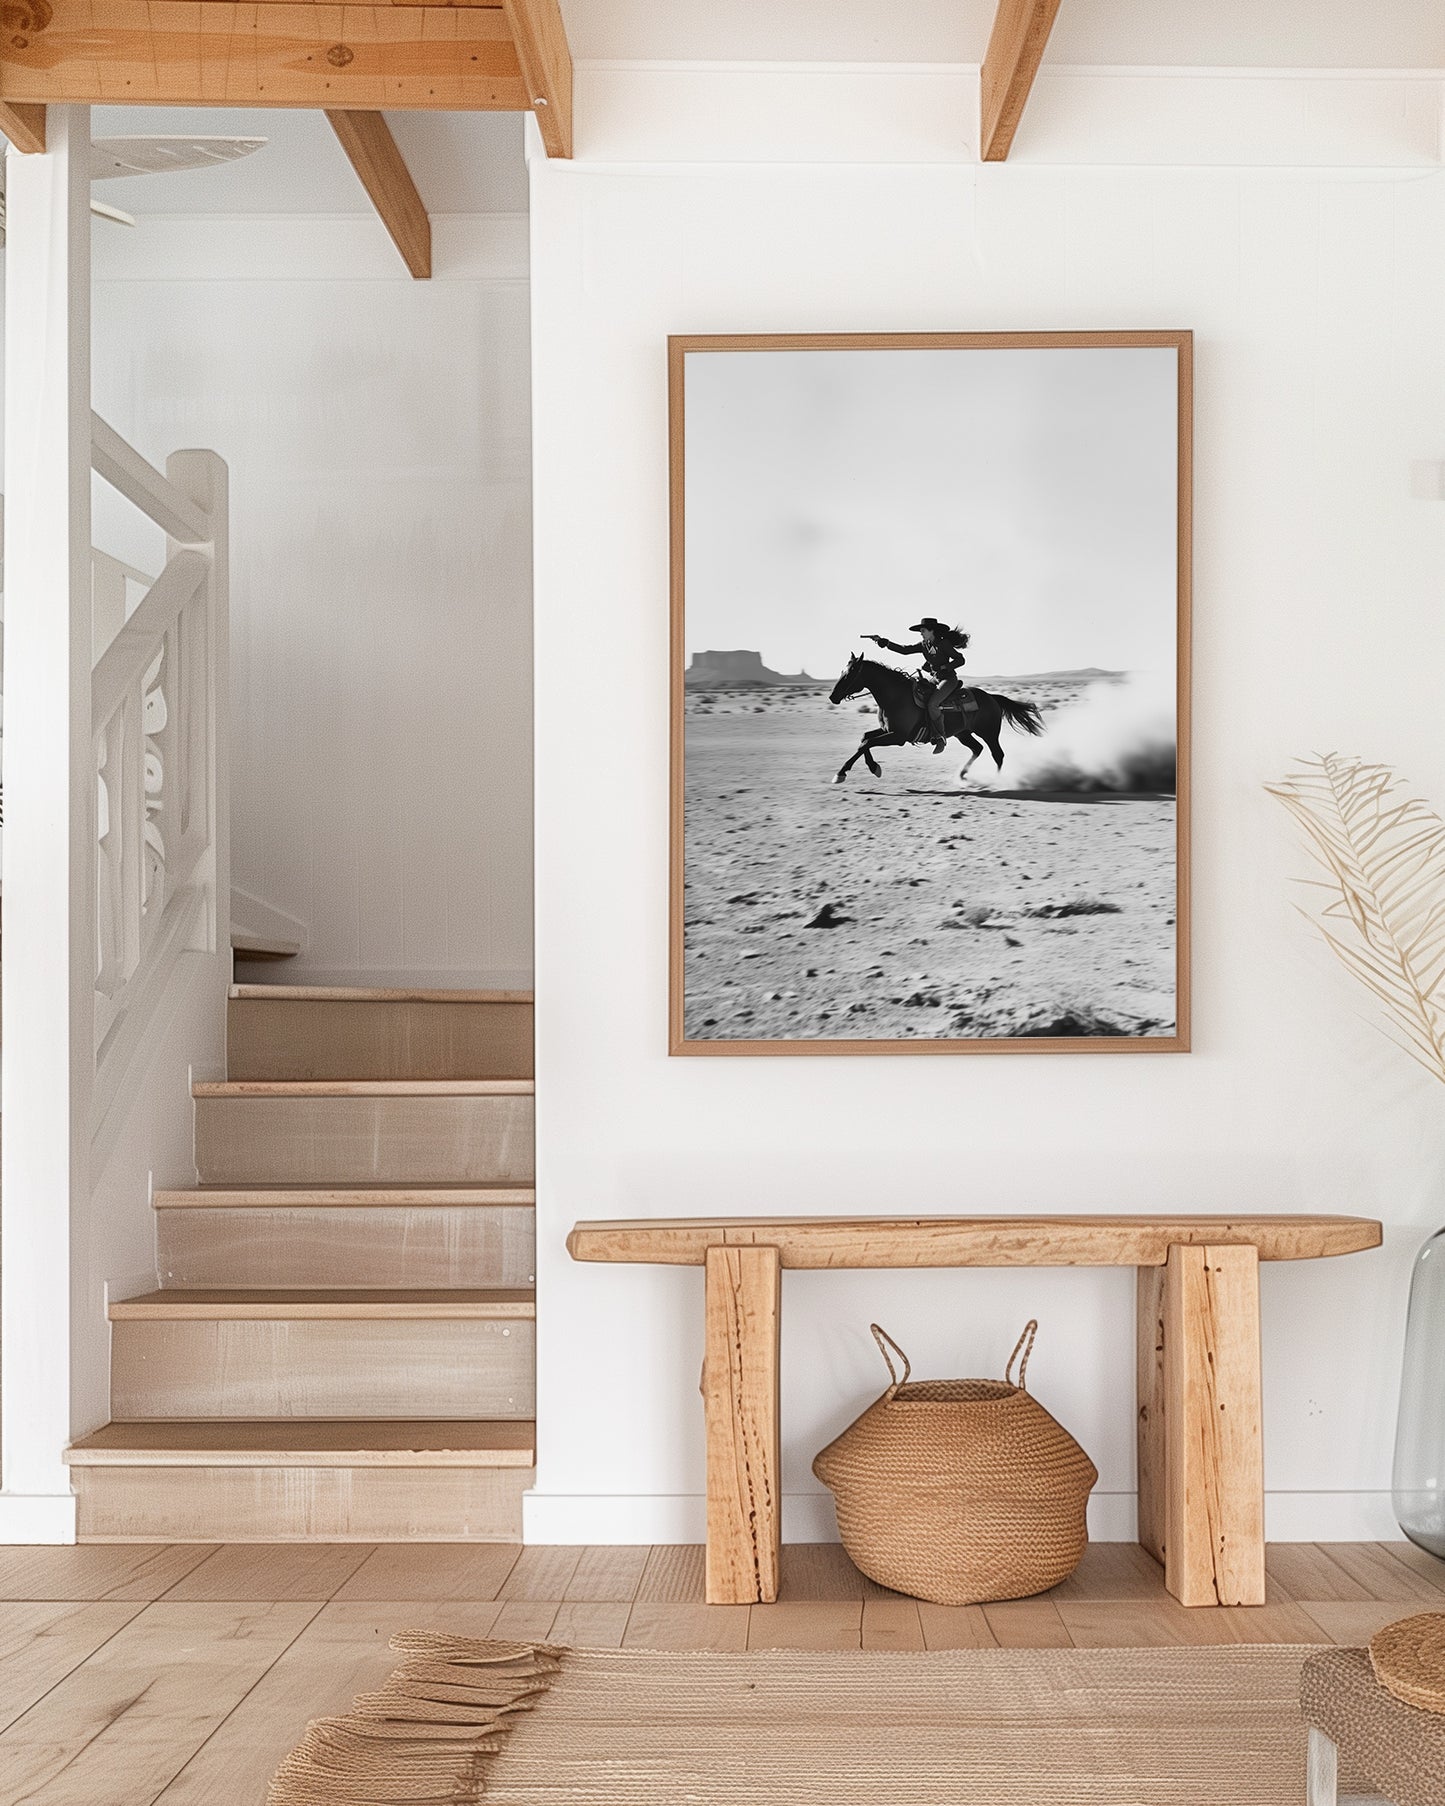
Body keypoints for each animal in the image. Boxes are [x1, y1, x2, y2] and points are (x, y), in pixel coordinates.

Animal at [830, 657, 1047, 783]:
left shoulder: (898, 737)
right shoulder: (887, 730)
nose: (833, 697)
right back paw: (962, 774)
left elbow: (867, 743)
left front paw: (842, 773)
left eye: (849, 674)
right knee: (977, 749)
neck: (896, 696)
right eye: (842, 671)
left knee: (998, 754)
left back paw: (997, 781)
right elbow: (865, 739)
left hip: (989, 732)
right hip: (963, 734)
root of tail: (992, 697)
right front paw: (872, 767)